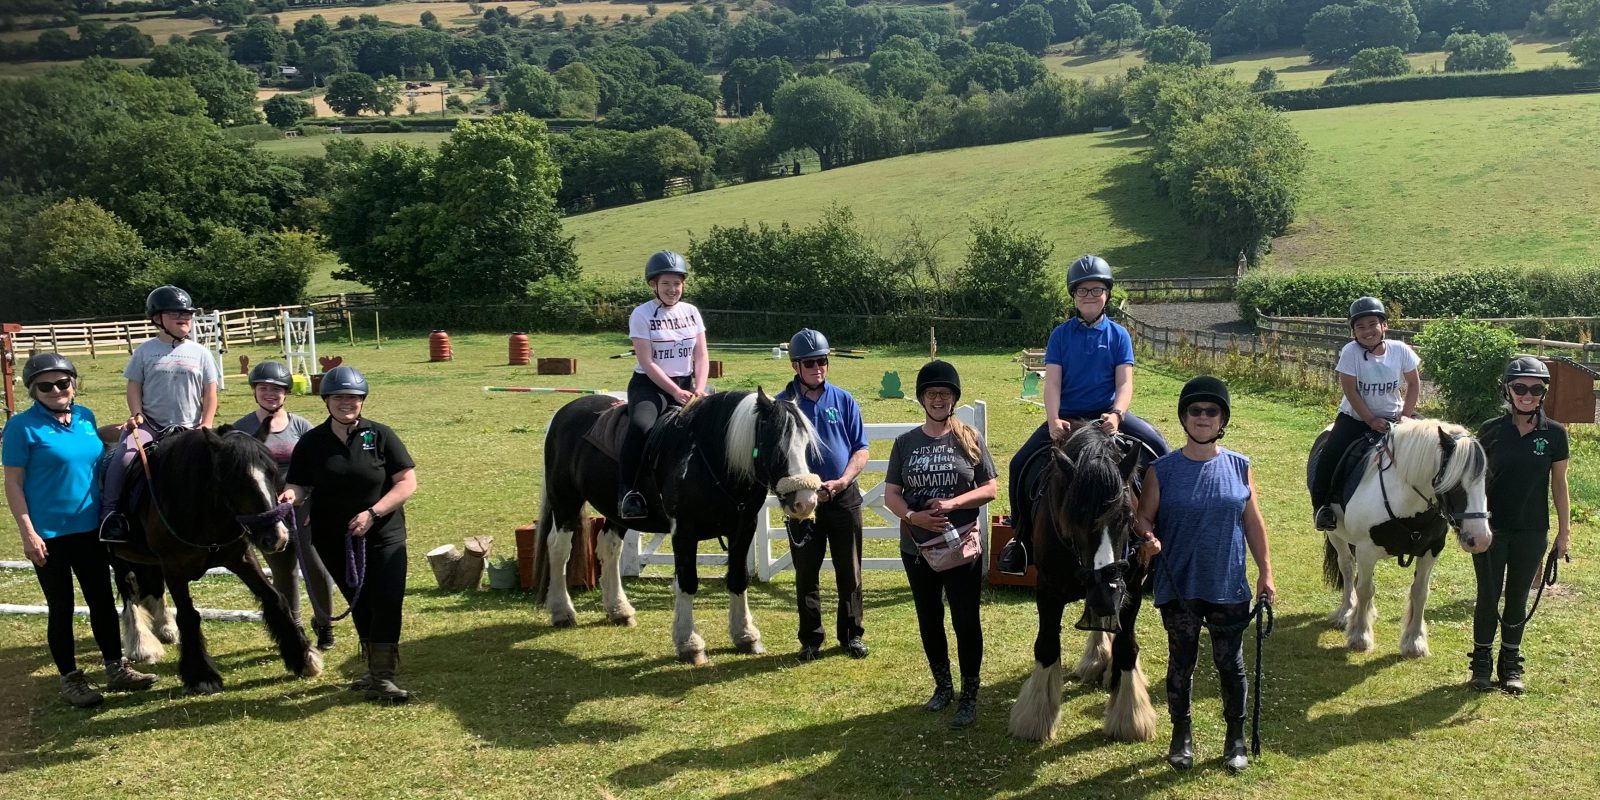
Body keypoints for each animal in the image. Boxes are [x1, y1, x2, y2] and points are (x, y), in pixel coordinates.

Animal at [109, 425, 321, 694]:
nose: (277, 536)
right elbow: (188, 616)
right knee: (129, 591)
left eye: (272, 473)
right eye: (235, 479)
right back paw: (142, 644)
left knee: (151, 587)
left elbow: (276, 598)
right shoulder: (174, 567)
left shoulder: (241, 559)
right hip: (117, 556)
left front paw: (303, 657)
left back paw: (165, 628)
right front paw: (202, 675)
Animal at [534, 390, 819, 665]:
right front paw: (689, 644)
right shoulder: (684, 532)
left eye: (805, 444)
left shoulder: (743, 527)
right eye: (775, 444)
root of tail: (565, 412)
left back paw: (619, 610)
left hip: (616, 514)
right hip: (566, 502)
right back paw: (562, 611)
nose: (805, 501)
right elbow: (687, 581)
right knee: (559, 549)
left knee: (609, 548)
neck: (712, 457)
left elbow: (738, 578)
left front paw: (746, 636)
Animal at [1004, 425, 1158, 742]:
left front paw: (1130, 717)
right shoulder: (1047, 591)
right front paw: (1035, 717)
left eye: (1128, 516)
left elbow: (1127, 647)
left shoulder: (1131, 590)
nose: (1105, 593)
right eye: (1072, 518)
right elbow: (1047, 645)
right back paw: (1096, 659)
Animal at [1318, 419, 1491, 656]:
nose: (1480, 539)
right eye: (1455, 483)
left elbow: (1420, 592)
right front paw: (1360, 636)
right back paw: (1346, 612)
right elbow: (1364, 590)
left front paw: (1414, 641)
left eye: (1485, 480)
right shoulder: (1366, 550)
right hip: (1335, 533)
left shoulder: (1432, 549)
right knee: (1347, 567)